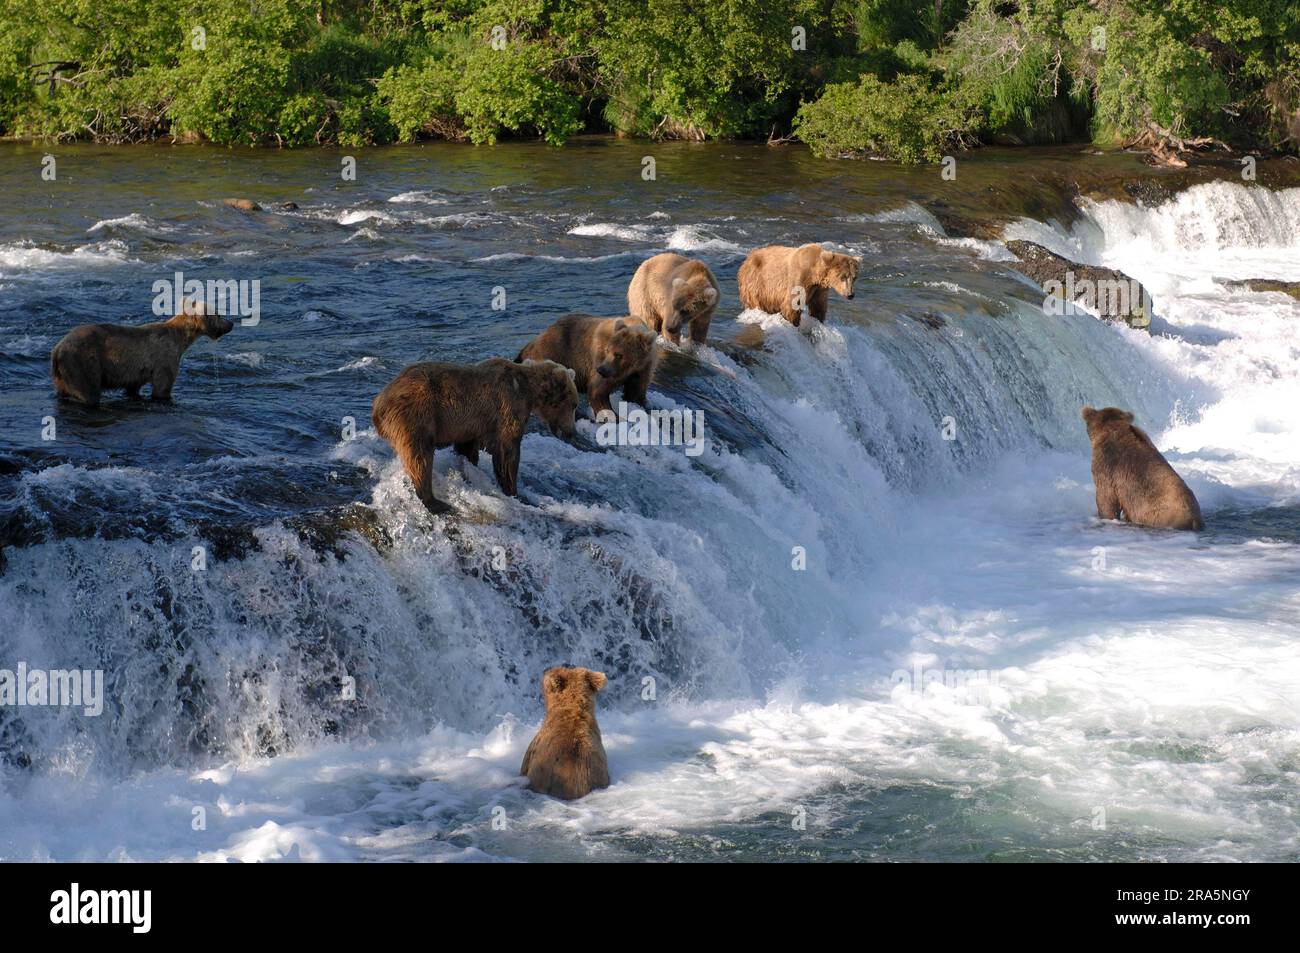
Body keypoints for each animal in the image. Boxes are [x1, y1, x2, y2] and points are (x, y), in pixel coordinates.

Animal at [50, 297, 236, 400]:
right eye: (219, 314)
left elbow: (133, 387)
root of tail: (57, 349)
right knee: (88, 391)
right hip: (83, 362)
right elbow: (162, 387)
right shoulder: (165, 357)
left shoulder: (137, 372)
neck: (182, 338)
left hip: (63, 372)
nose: (231, 323)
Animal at [369, 356, 577, 512]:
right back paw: (434, 501)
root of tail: (378, 403)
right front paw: (514, 491)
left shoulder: (471, 426)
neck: (528, 389)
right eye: (574, 404)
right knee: (419, 456)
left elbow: (467, 448)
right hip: (417, 415)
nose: (571, 431)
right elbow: (507, 453)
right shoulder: (506, 410)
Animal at [514, 314, 660, 418]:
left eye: (619, 354)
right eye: (608, 350)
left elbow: (636, 392)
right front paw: (611, 415)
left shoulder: (643, 368)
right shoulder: (599, 356)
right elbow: (597, 389)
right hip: (554, 352)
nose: (602, 370)